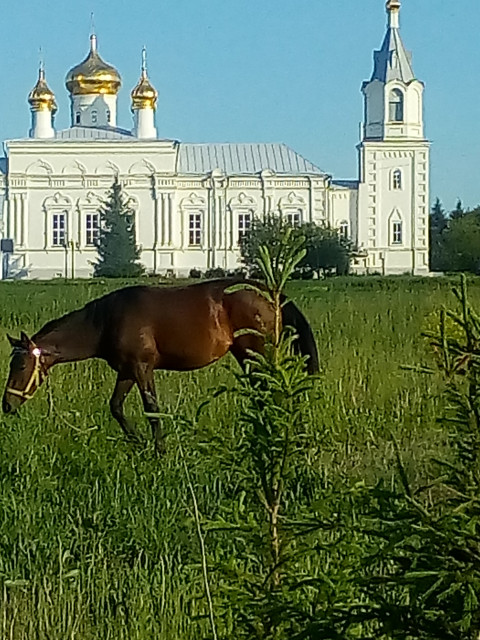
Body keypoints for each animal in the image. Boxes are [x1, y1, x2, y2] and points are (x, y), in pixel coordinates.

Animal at [3, 278, 318, 450]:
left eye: (20, 367)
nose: (6, 405)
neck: (106, 321)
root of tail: (269, 292)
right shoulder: (127, 371)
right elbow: (116, 407)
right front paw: (139, 443)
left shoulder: (142, 368)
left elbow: (152, 410)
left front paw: (159, 450)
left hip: (256, 353)